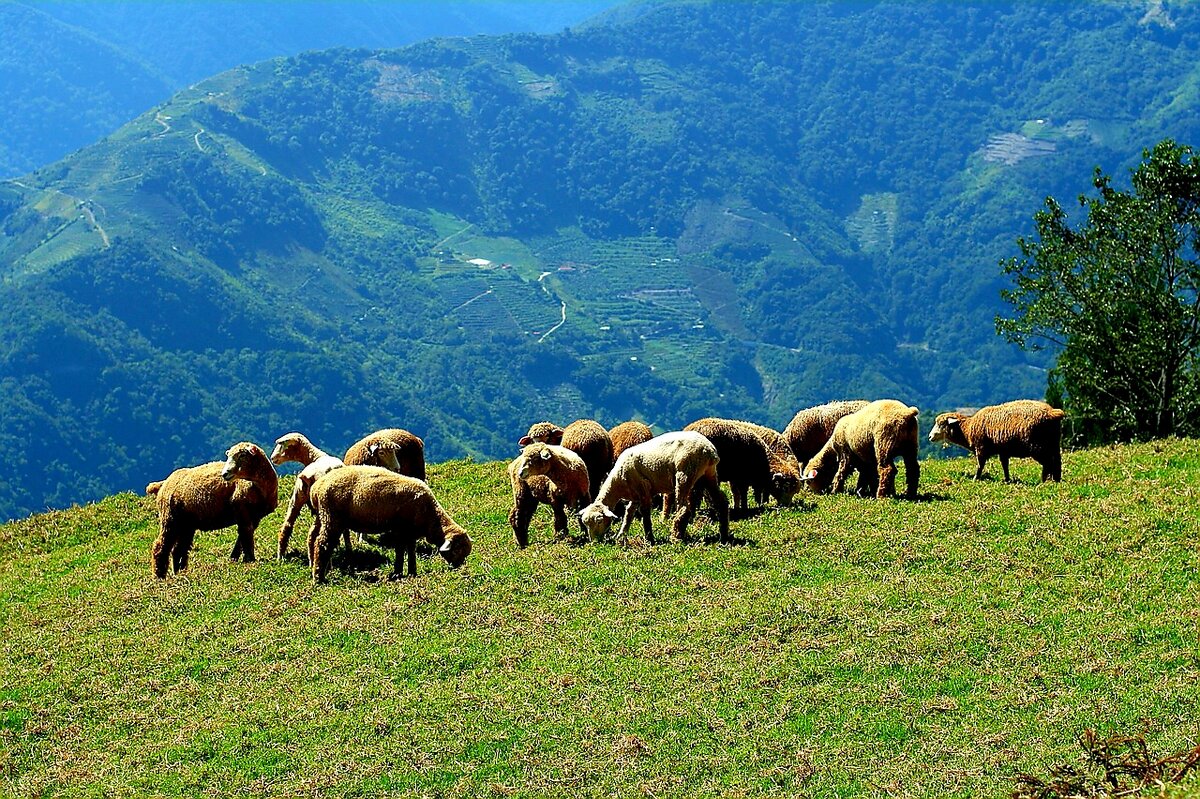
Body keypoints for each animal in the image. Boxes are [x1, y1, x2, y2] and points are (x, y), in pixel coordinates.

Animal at [146, 439, 279, 575]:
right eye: (229, 456)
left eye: (242, 455)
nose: (225, 474)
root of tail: (164, 483)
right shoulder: (242, 511)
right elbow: (246, 535)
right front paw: (250, 559)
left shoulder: (255, 516)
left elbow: (243, 537)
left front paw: (235, 558)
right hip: (170, 518)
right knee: (160, 546)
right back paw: (159, 575)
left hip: (186, 524)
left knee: (179, 549)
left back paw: (181, 572)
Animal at [307, 463, 470, 583]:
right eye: (457, 550)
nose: (458, 567)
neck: (430, 516)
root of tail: (317, 487)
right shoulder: (400, 528)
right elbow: (400, 550)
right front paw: (398, 573)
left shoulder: (410, 532)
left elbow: (410, 550)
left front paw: (412, 572)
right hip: (332, 517)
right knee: (322, 543)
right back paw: (319, 578)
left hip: (322, 515)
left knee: (313, 537)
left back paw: (315, 568)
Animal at [576, 429, 724, 547]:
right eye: (585, 523)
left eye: (599, 521)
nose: (594, 543)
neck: (618, 482)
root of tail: (709, 450)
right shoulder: (635, 496)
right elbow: (628, 514)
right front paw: (621, 536)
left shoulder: (643, 490)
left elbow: (645, 514)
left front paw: (649, 539)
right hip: (709, 474)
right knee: (721, 502)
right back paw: (724, 536)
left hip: (684, 475)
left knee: (683, 509)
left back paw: (676, 537)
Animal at [921, 395, 1065, 479]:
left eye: (941, 424)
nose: (930, 436)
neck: (968, 428)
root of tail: (1052, 412)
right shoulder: (1003, 450)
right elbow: (1005, 465)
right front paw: (1007, 479)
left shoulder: (981, 448)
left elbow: (980, 465)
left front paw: (976, 478)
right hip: (1053, 442)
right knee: (1056, 461)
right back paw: (1055, 479)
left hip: (1037, 446)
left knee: (1047, 462)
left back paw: (1044, 480)